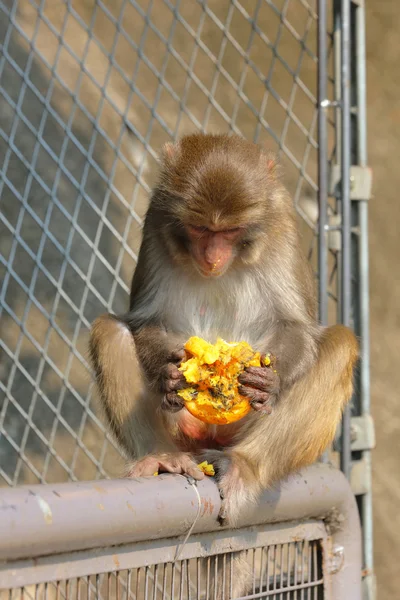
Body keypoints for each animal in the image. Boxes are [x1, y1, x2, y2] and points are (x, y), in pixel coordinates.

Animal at [89, 132, 358, 528]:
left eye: (230, 231)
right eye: (201, 228)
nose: (212, 257)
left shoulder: (281, 222)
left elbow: (294, 325)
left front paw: (270, 381)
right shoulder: (157, 221)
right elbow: (147, 321)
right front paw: (170, 372)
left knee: (339, 345)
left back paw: (243, 466)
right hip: (181, 428)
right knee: (111, 332)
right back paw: (160, 457)